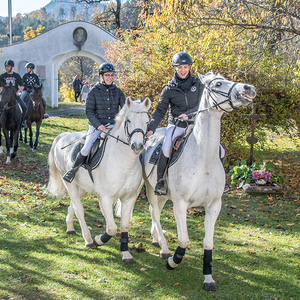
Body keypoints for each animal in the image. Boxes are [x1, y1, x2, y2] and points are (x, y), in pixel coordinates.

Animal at [46, 97, 151, 264]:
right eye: (128, 120)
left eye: (147, 121)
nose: (137, 146)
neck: (124, 161)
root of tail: (63, 136)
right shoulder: (105, 198)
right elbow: (112, 228)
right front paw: (97, 240)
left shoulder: (129, 198)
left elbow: (124, 226)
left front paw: (126, 254)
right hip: (70, 183)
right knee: (79, 209)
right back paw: (88, 240)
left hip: (81, 186)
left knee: (74, 205)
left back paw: (70, 227)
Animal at [142, 71, 255, 290]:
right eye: (218, 83)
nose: (248, 88)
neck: (203, 159)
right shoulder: (180, 204)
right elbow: (184, 241)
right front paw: (173, 262)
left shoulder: (214, 205)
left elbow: (208, 243)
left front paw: (208, 278)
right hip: (152, 189)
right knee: (154, 212)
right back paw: (165, 249)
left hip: (164, 195)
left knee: (155, 211)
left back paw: (157, 239)